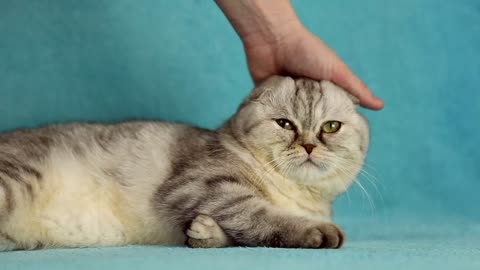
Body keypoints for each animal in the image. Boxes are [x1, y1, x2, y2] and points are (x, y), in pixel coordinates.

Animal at [0, 76, 370, 251]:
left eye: (330, 127)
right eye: (284, 124)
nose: (308, 145)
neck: (298, 196)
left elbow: (236, 233)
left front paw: (204, 233)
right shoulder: (202, 185)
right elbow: (262, 217)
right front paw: (316, 232)